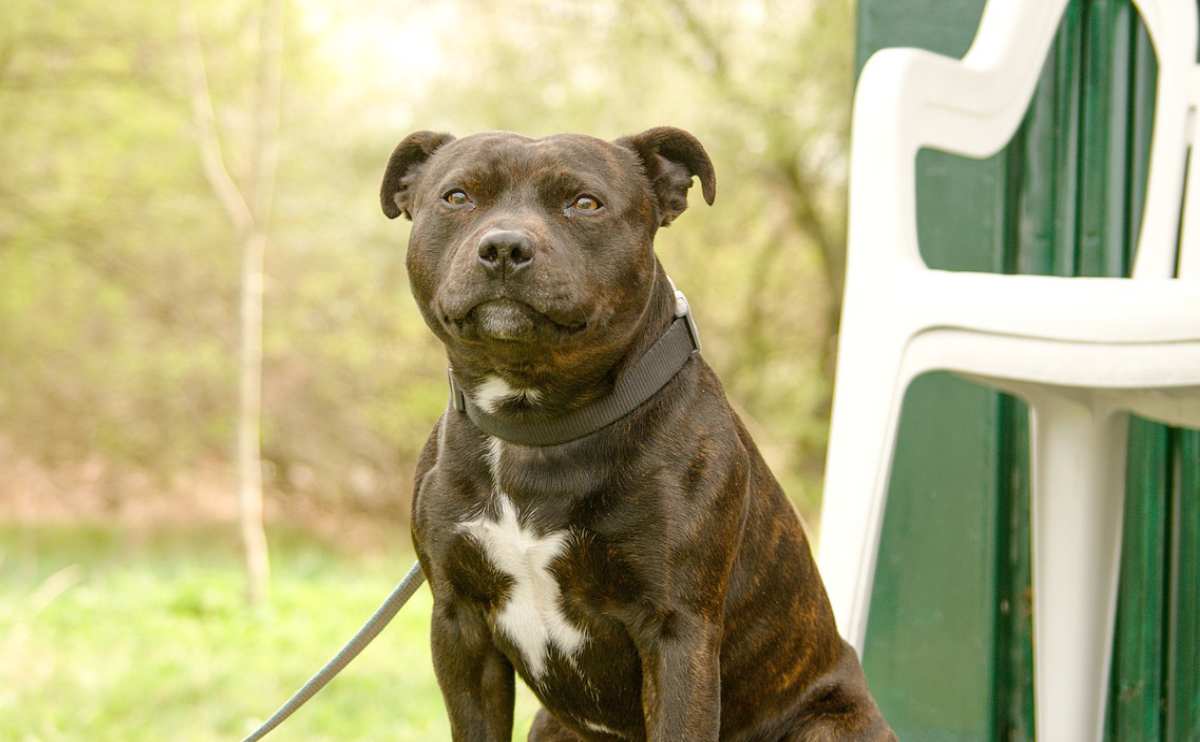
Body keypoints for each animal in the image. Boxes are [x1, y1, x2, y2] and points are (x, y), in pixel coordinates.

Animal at [379, 127, 897, 739]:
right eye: (457, 197)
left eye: (586, 203)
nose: (505, 248)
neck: (535, 422)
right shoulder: (461, 627)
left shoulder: (677, 634)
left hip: (829, 725)